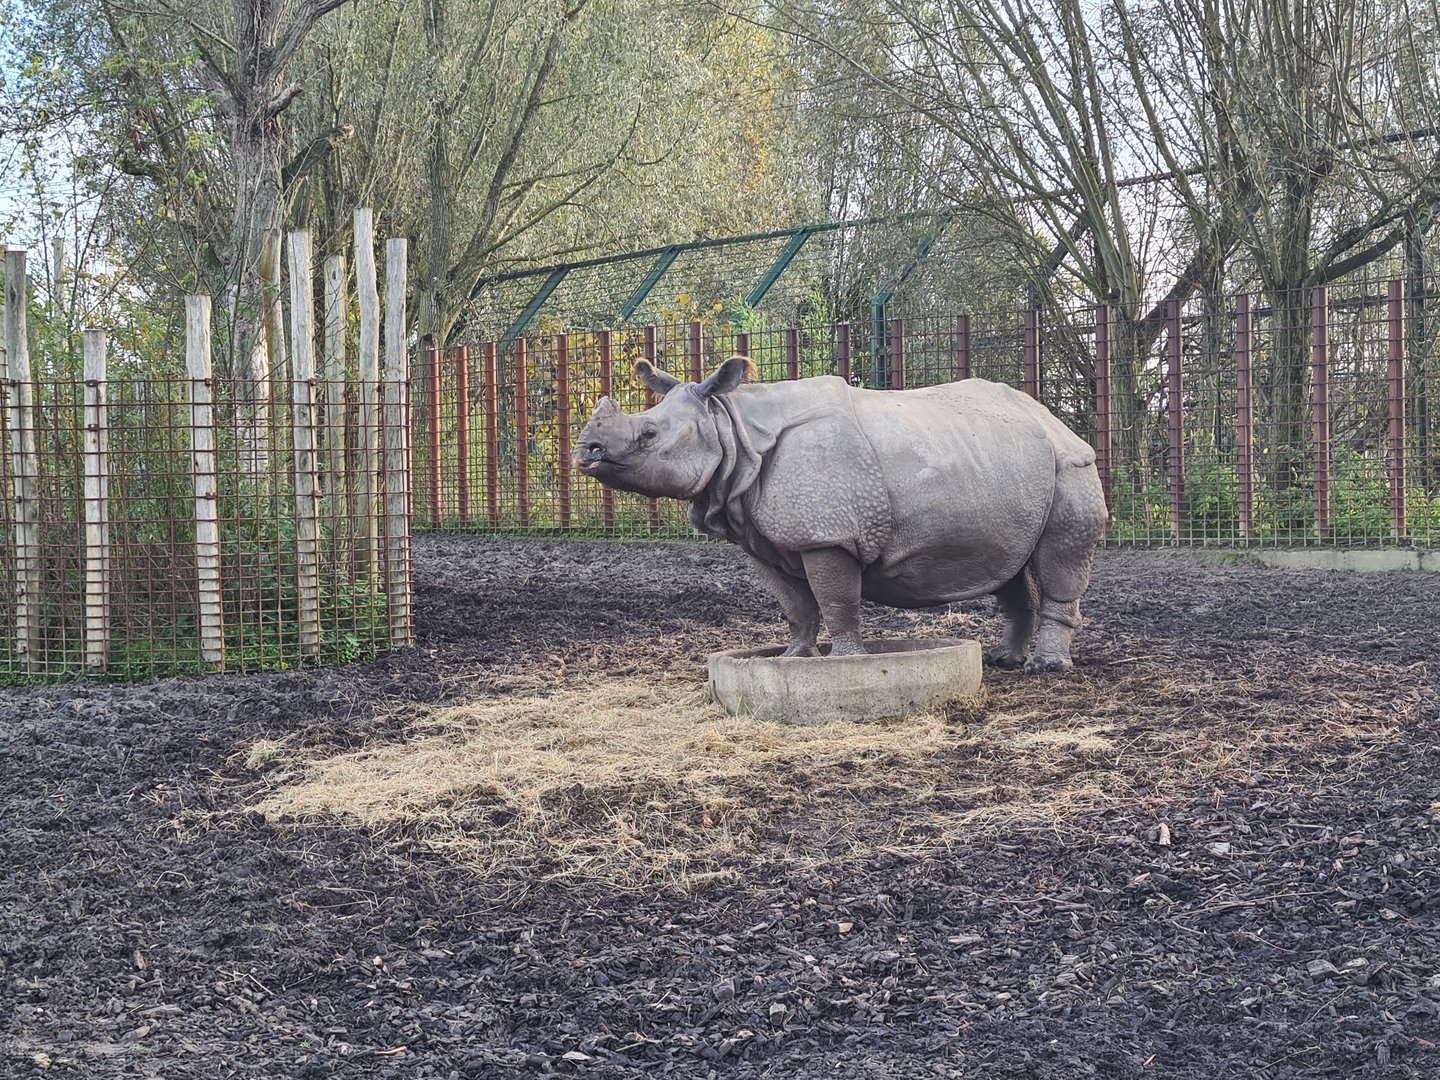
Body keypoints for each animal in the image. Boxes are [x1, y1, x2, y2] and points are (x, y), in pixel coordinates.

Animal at [574, 356, 1109, 673]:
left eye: (648, 436)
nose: (586, 450)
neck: (729, 426)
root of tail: (1051, 417)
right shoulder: (762, 539)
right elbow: (795, 605)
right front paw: (794, 657)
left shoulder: (826, 534)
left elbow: (836, 599)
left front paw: (847, 661)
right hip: (1006, 466)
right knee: (1007, 566)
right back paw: (1003, 660)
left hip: (1070, 464)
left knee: (1059, 558)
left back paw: (1046, 668)